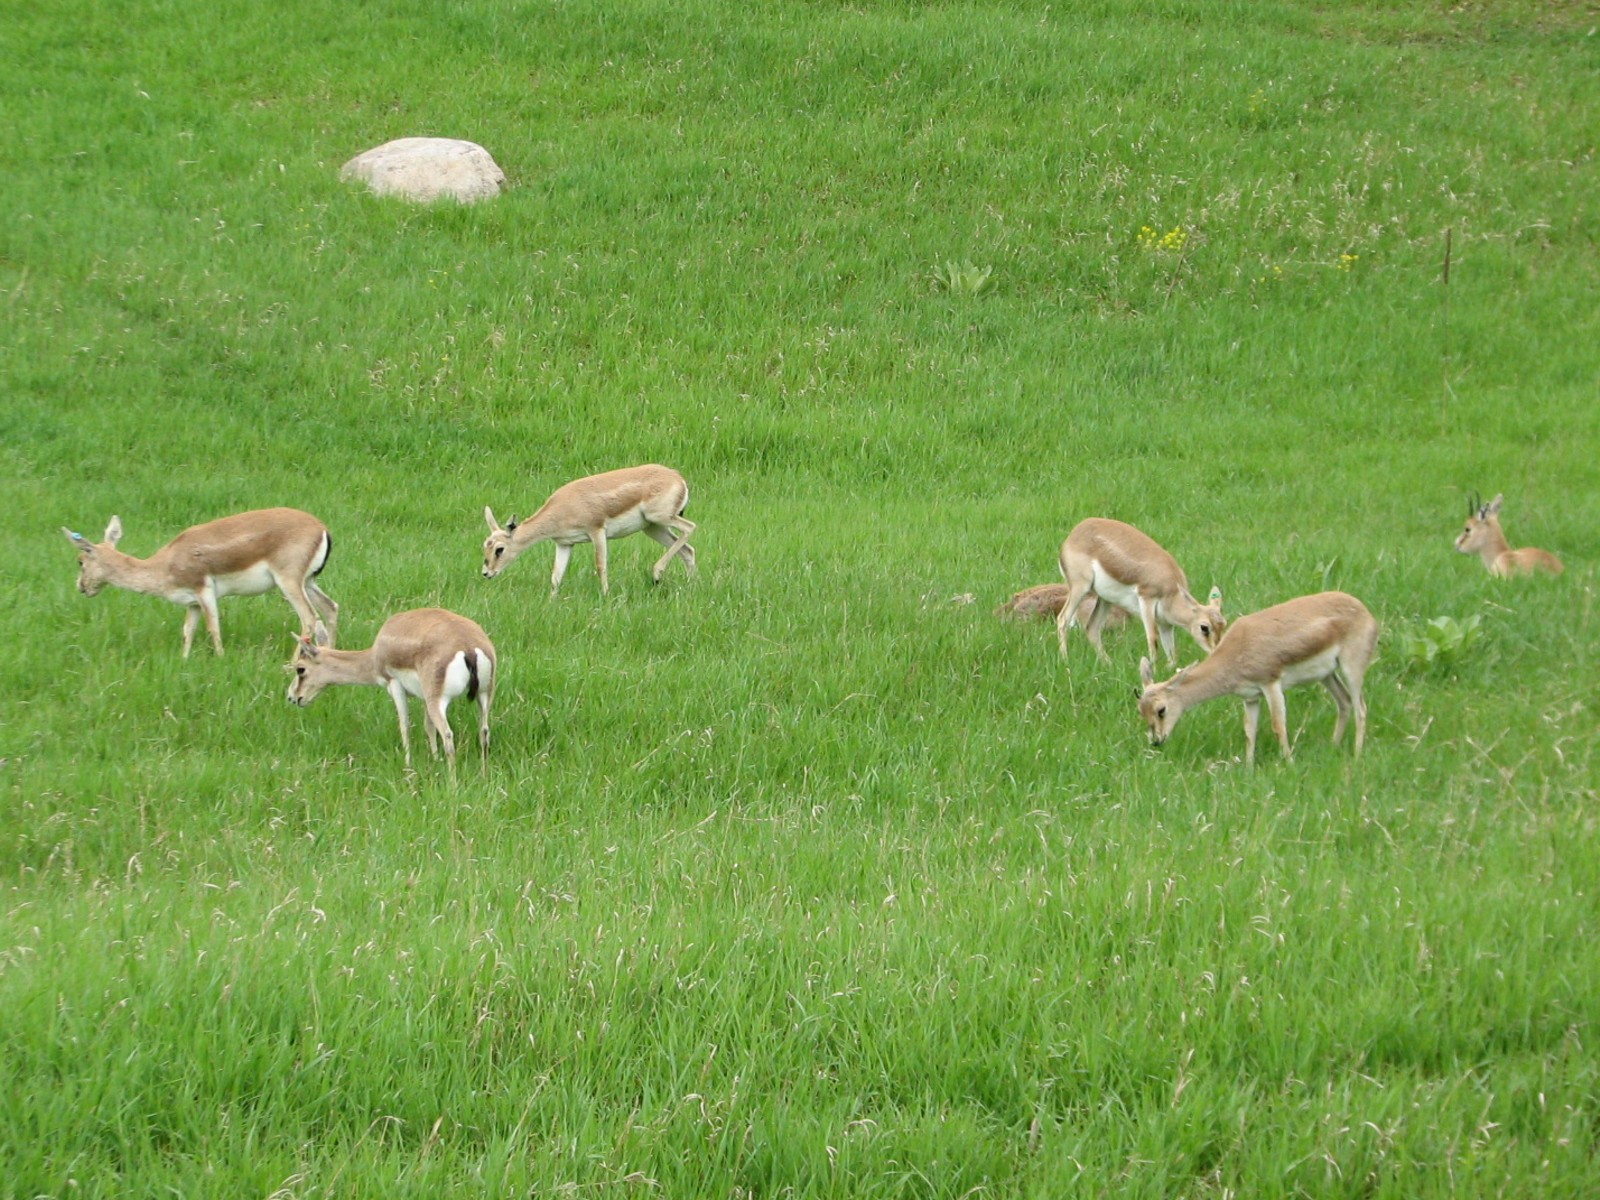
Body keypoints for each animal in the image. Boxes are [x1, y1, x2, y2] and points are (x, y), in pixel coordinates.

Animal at [62, 508, 338, 657]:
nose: (81, 587)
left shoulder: (204, 591)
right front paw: (184, 660)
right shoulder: (192, 602)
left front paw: (221, 658)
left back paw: (291, 665)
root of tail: (321, 528)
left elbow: (213, 627)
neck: (164, 565)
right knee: (330, 608)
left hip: (289, 581)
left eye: (80, 561)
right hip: (308, 581)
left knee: (309, 617)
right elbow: (188, 631)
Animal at [285, 608, 495, 779]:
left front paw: (408, 767)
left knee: (448, 735)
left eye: (300, 669)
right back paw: (484, 775)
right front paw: (435, 761)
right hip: (483, 695)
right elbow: (428, 727)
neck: (374, 656)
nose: (292, 697)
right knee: (484, 731)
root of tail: (468, 645)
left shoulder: (394, 685)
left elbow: (404, 725)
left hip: (439, 700)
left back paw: (453, 785)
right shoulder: (424, 697)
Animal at [483, 464, 697, 595]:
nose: (486, 573)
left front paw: (606, 595)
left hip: (660, 517)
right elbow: (556, 575)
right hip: (653, 528)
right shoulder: (564, 544)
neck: (563, 506)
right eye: (485, 545)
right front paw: (552, 601)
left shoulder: (597, 531)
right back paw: (689, 585)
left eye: (499, 549)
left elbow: (601, 565)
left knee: (690, 528)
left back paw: (657, 574)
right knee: (688, 550)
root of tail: (677, 477)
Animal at [1055, 518, 1225, 664]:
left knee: (1092, 628)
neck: (1172, 591)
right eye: (1204, 627)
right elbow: (1152, 639)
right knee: (1063, 619)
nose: (1215, 651)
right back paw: (1065, 660)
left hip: (1105, 599)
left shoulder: (1165, 623)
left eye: (1223, 624)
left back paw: (1108, 663)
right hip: (1080, 588)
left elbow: (1172, 653)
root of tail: (1075, 533)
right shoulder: (1146, 599)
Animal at [1137, 591, 1378, 766]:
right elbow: (1249, 731)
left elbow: (1278, 725)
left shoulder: (1271, 684)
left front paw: (1289, 763)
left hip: (1351, 668)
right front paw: (1249, 766)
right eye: (1141, 710)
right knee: (1344, 701)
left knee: (1361, 708)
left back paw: (1357, 755)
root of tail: (1366, 612)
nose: (1157, 741)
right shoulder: (1250, 697)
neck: (1236, 653)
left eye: (1161, 709)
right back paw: (1333, 746)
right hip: (1327, 675)